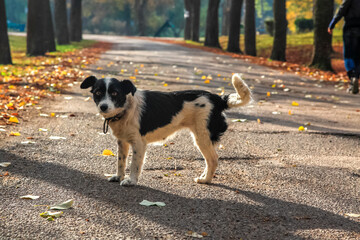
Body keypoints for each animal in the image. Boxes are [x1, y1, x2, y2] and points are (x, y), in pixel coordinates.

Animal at [80, 74, 252, 187]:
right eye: (98, 93)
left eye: (115, 93)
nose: (103, 107)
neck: (126, 108)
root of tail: (217, 99)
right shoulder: (122, 142)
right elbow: (121, 162)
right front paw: (118, 176)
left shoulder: (139, 144)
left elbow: (135, 164)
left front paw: (131, 180)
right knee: (210, 160)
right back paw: (204, 177)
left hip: (202, 136)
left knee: (213, 159)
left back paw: (206, 180)